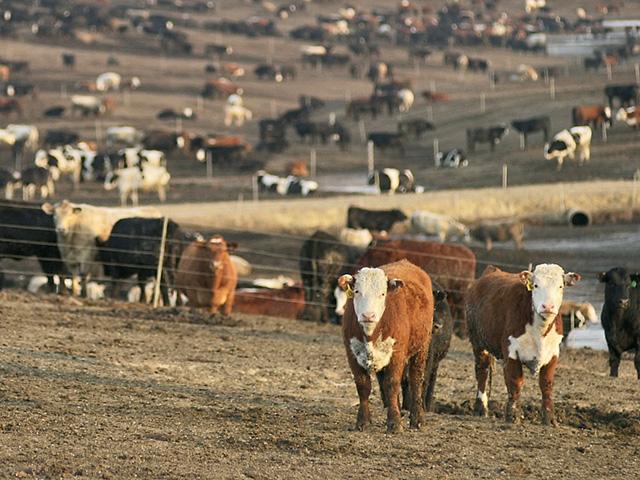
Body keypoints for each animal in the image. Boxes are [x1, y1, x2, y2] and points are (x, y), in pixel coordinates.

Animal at [336, 260, 436, 434]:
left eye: (382, 294)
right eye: (357, 291)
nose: (368, 315)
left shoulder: (397, 353)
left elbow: (392, 384)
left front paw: (394, 423)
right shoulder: (351, 353)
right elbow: (363, 385)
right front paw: (363, 421)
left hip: (421, 348)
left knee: (416, 379)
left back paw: (417, 419)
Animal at [468, 264, 584, 426]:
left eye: (560, 286)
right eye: (535, 285)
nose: (548, 306)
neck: (540, 331)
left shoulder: (554, 353)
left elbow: (546, 384)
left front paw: (549, 419)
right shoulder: (511, 351)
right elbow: (515, 382)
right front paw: (513, 416)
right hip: (478, 343)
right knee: (482, 372)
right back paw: (481, 408)